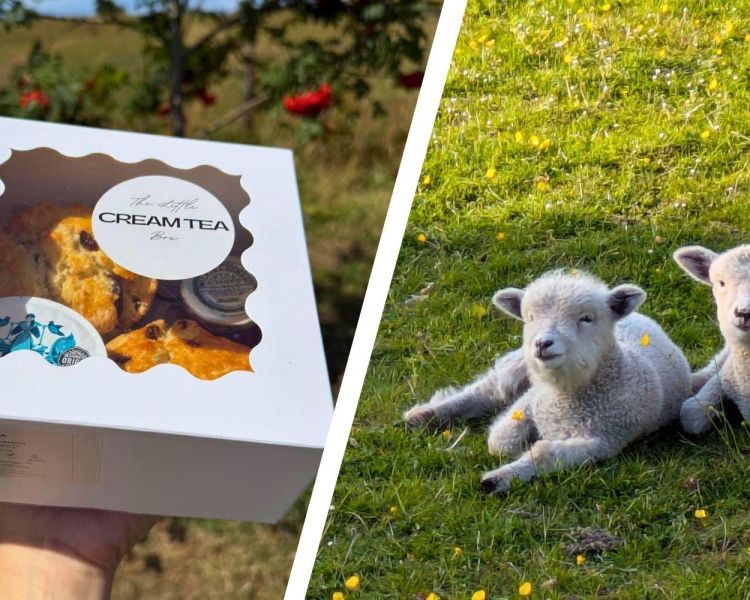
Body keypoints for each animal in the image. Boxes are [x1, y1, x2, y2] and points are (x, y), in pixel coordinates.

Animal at [404, 270, 692, 494]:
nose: (542, 343)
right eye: (529, 317)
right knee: (489, 389)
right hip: (519, 362)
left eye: (587, 318)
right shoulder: (529, 401)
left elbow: (543, 453)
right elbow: (501, 442)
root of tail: (639, 317)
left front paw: (499, 478)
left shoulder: (604, 440)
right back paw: (423, 415)